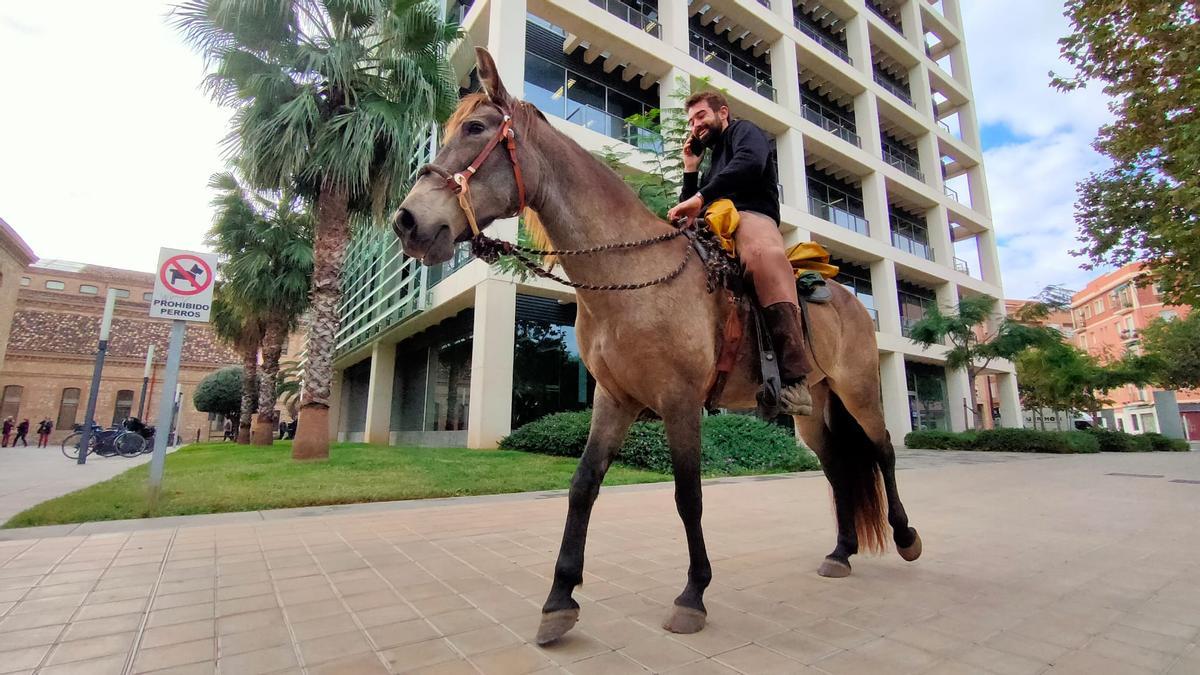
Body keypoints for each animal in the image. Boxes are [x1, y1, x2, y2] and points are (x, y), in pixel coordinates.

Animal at [393, 45, 916, 638]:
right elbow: (582, 486)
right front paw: (559, 598)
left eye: (476, 128)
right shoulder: (613, 400)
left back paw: (905, 537)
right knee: (836, 468)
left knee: (882, 448)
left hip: (858, 389)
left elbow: (688, 495)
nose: (408, 222)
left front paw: (693, 594)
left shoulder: (680, 402)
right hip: (814, 407)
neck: (631, 274)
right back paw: (842, 552)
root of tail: (850, 299)